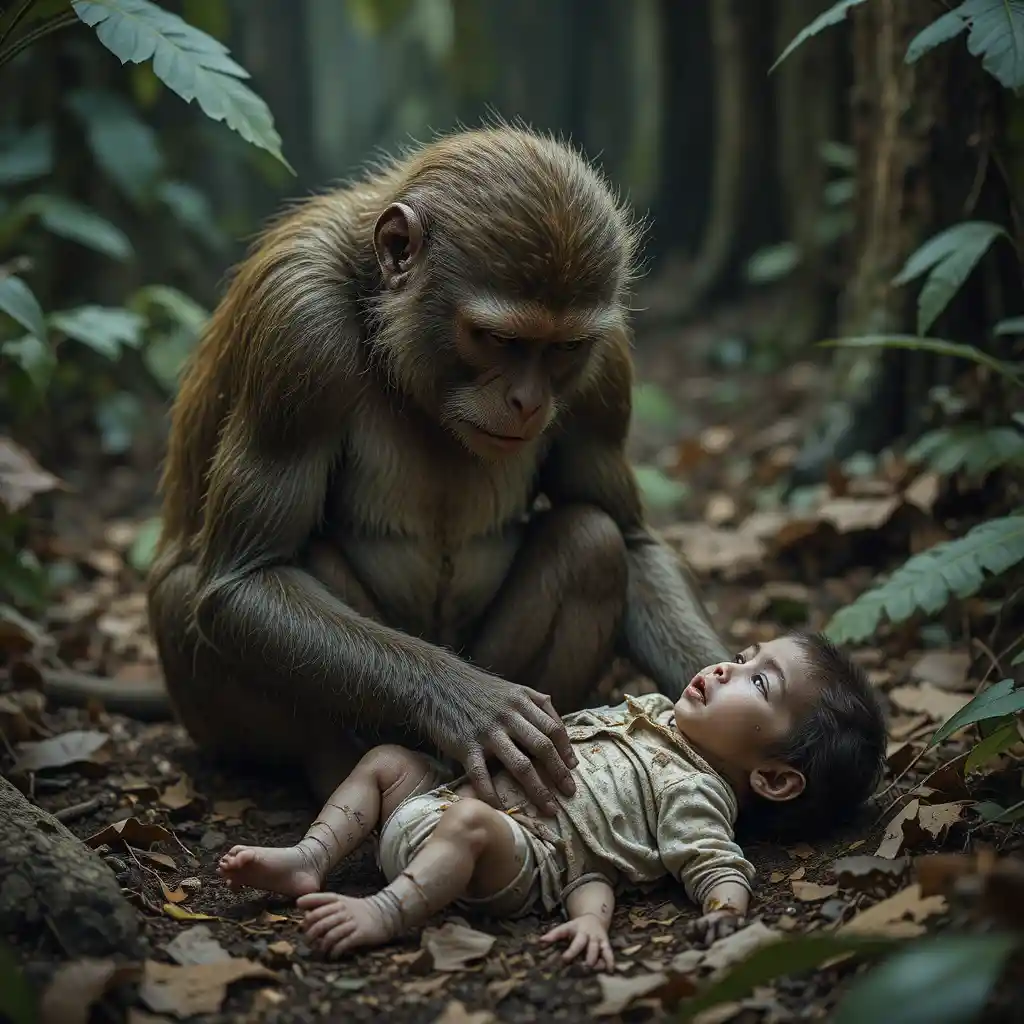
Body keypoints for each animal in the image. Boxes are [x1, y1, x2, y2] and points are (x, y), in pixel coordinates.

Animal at [54, 126, 729, 813]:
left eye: (564, 348)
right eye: (499, 339)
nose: (528, 400)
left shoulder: (605, 362)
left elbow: (634, 541)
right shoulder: (297, 331)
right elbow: (243, 581)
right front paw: (470, 703)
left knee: (593, 542)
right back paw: (346, 769)